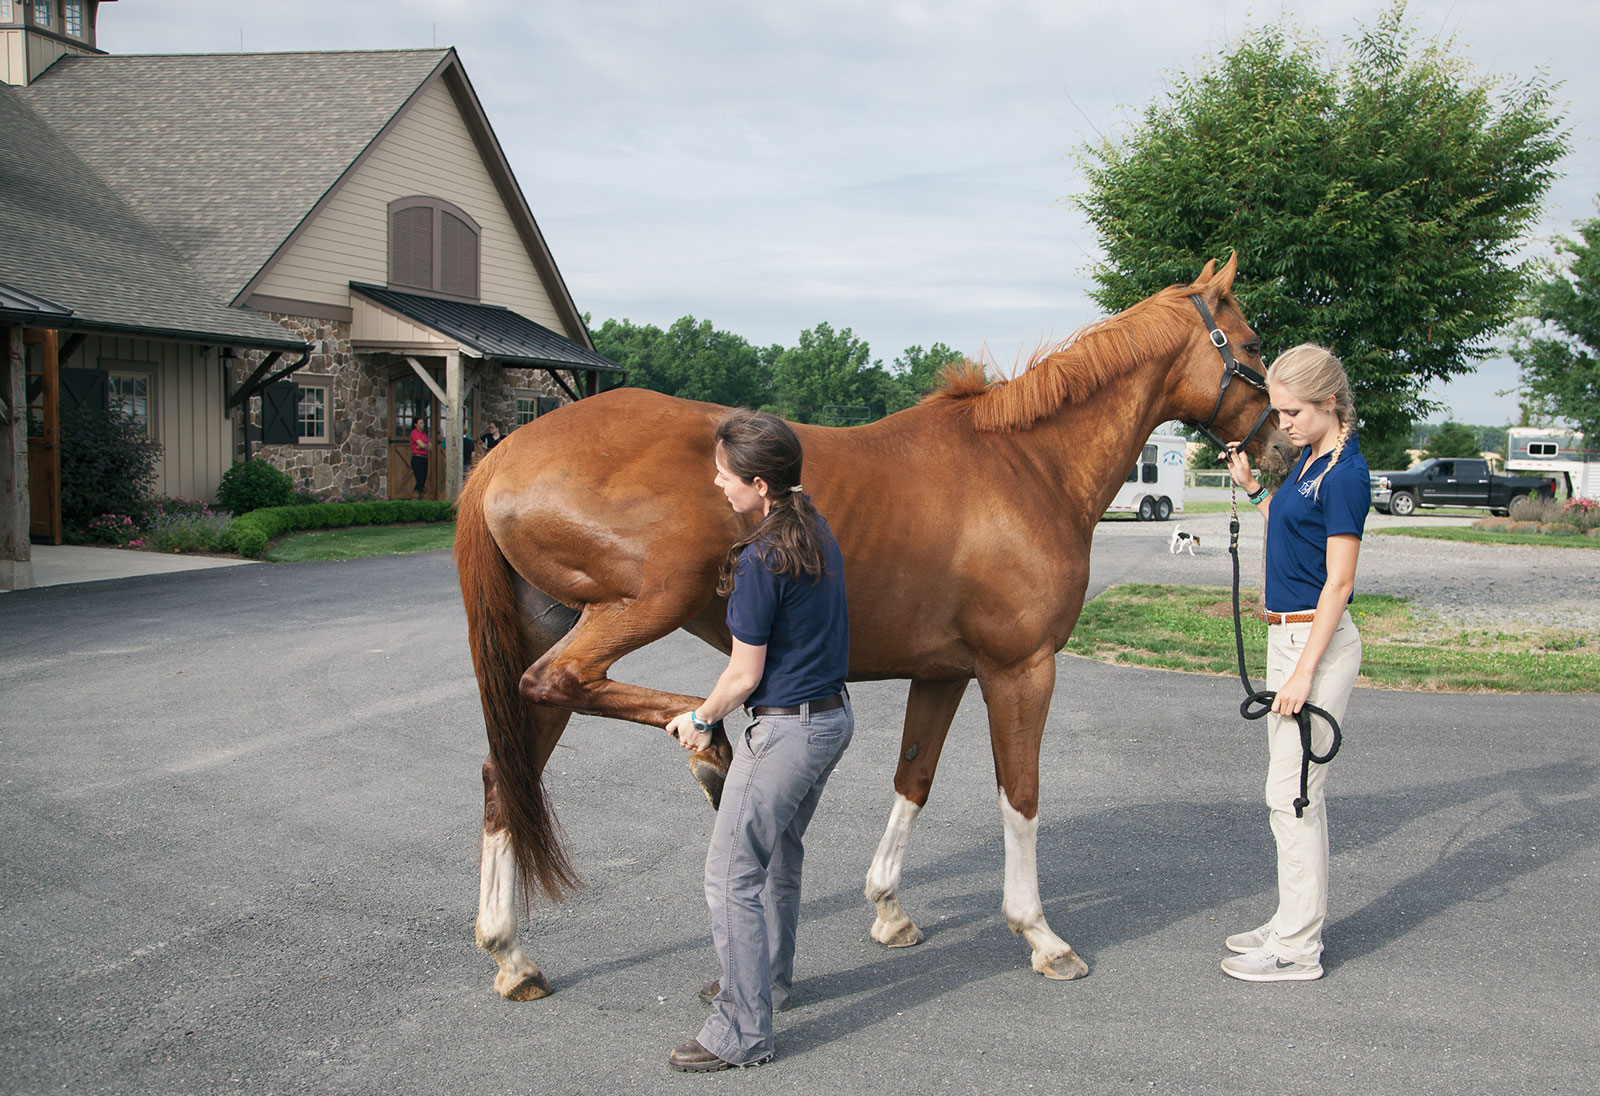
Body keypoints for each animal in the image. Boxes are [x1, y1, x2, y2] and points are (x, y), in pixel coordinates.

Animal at [455, 254, 1297, 1000]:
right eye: (1253, 343)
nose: (1282, 447)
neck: (1027, 466)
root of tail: (501, 457)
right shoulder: (1020, 669)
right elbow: (1020, 795)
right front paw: (1041, 935)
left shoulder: (944, 672)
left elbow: (913, 778)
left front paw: (889, 909)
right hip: (646, 602)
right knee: (563, 683)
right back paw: (706, 746)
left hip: (555, 626)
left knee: (509, 767)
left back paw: (511, 954)